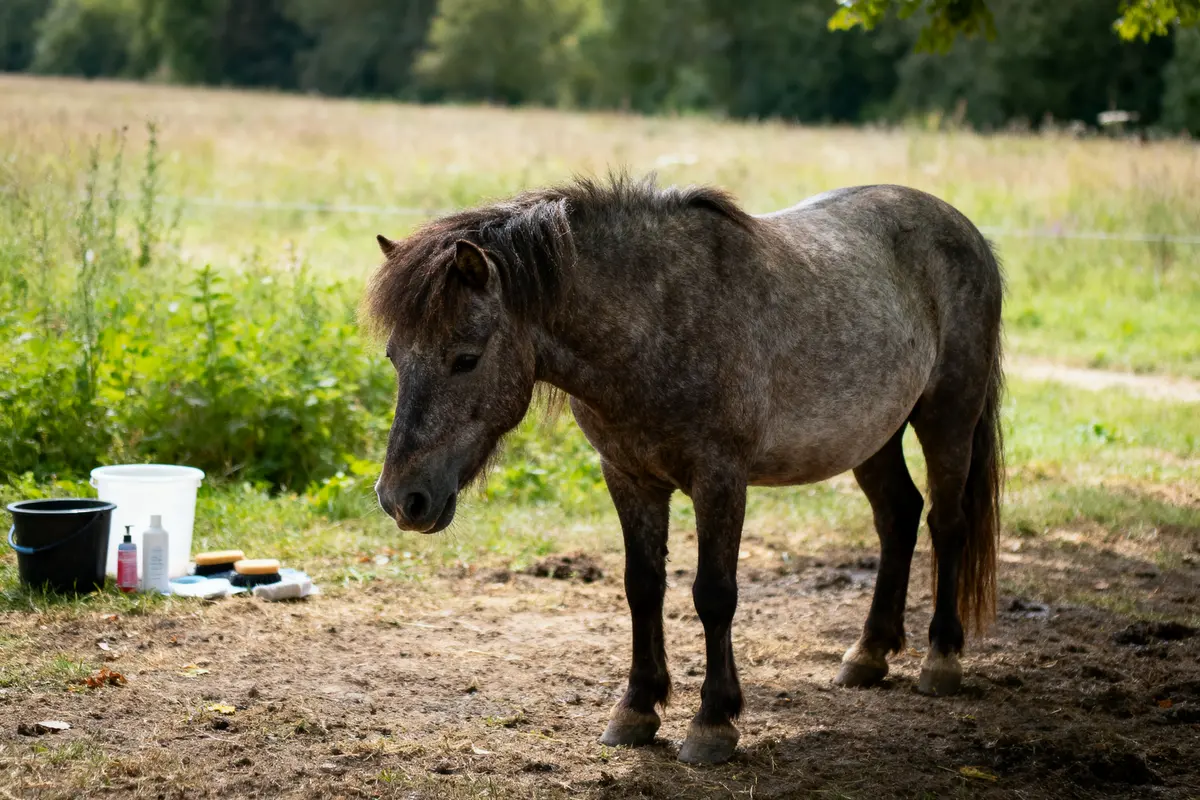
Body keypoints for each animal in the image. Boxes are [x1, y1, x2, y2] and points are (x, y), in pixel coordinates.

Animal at [364, 175, 1003, 765]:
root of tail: (964, 228)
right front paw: (636, 711)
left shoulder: (720, 480)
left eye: (465, 358)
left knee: (946, 524)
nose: (402, 499)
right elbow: (642, 587)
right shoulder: (628, 477)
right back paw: (868, 654)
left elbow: (713, 595)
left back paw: (941, 659)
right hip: (874, 437)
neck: (655, 322)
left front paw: (713, 723)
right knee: (898, 516)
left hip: (948, 414)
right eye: (395, 356)